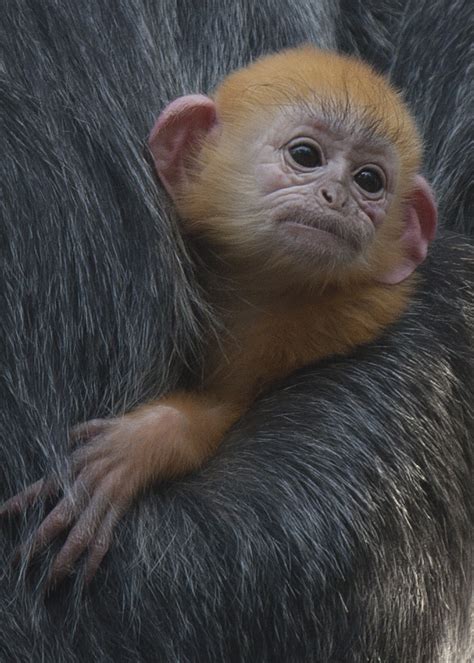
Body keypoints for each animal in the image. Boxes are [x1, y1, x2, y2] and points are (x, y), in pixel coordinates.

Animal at [0, 48, 436, 588]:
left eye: (369, 181)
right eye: (306, 156)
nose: (339, 198)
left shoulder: (343, 319)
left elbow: (227, 413)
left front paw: (140, 446)